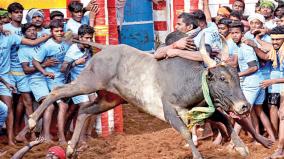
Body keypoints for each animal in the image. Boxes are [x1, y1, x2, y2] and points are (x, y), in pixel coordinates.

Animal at [27, 33, 272, 158]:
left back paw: (70, 148)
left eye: (237, 76)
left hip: (109, 99)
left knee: (84, 111)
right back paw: (31, 121)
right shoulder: (170, 112)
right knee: (57, 92)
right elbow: (186, 132)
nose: (244, 106)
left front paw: (242, 147)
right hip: (88, 83)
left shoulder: (205, 109)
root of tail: (104, 48)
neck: (188, 82)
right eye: (222, 78)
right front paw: (197, 155)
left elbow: (226, 120)